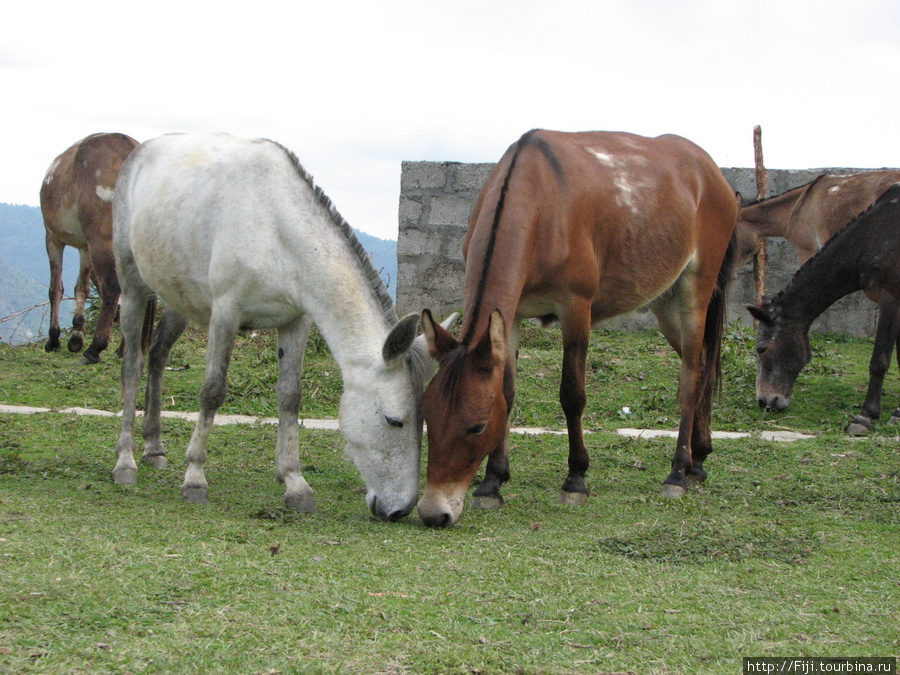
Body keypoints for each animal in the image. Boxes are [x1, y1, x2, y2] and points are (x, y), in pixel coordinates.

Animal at [40, 133, 139, 364]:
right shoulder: (85, 247)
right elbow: (81, 287)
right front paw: (76, 335)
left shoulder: (53, 239)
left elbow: (55, 288)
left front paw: (54, 340)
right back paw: (124, 349)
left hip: (102, 242)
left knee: (112, 287)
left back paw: (95, 349)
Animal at [110, 133, 454, 524]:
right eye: (394, 421)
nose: (400, 509)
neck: (275, 226)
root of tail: (140, 151)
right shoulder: (225, 313)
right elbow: (212, 391)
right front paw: (195, 477)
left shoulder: (296, 320)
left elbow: (290, 396)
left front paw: (294, 483)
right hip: (132, 287)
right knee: (132, 367)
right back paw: (126, 461)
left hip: (179, 298)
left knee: (157, 356)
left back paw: (154, 448)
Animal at [414, 128, 740, 528]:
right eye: (426, 415)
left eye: (476, 426)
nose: (434, 512)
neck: (540, 201)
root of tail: (712, 173)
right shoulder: (510, 318)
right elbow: (507, 392)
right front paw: (492, 483)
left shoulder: (576, 309)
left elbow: (572, 395)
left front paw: (576, 479)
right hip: (666, 302)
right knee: (706, 363)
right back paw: (699, 458)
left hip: (697, 289)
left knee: (692, 375)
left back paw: (678, 472)